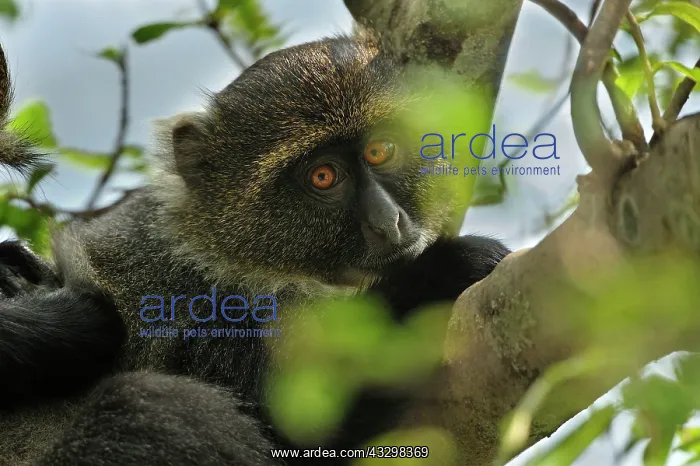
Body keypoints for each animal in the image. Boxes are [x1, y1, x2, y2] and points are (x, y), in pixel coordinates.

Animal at [0, 29, 510, 466]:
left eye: (379, 151)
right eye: (323, 176)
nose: (388, 222)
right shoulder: (209, 317)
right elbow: (310, 434)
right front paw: (449, 268)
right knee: (146, 407)